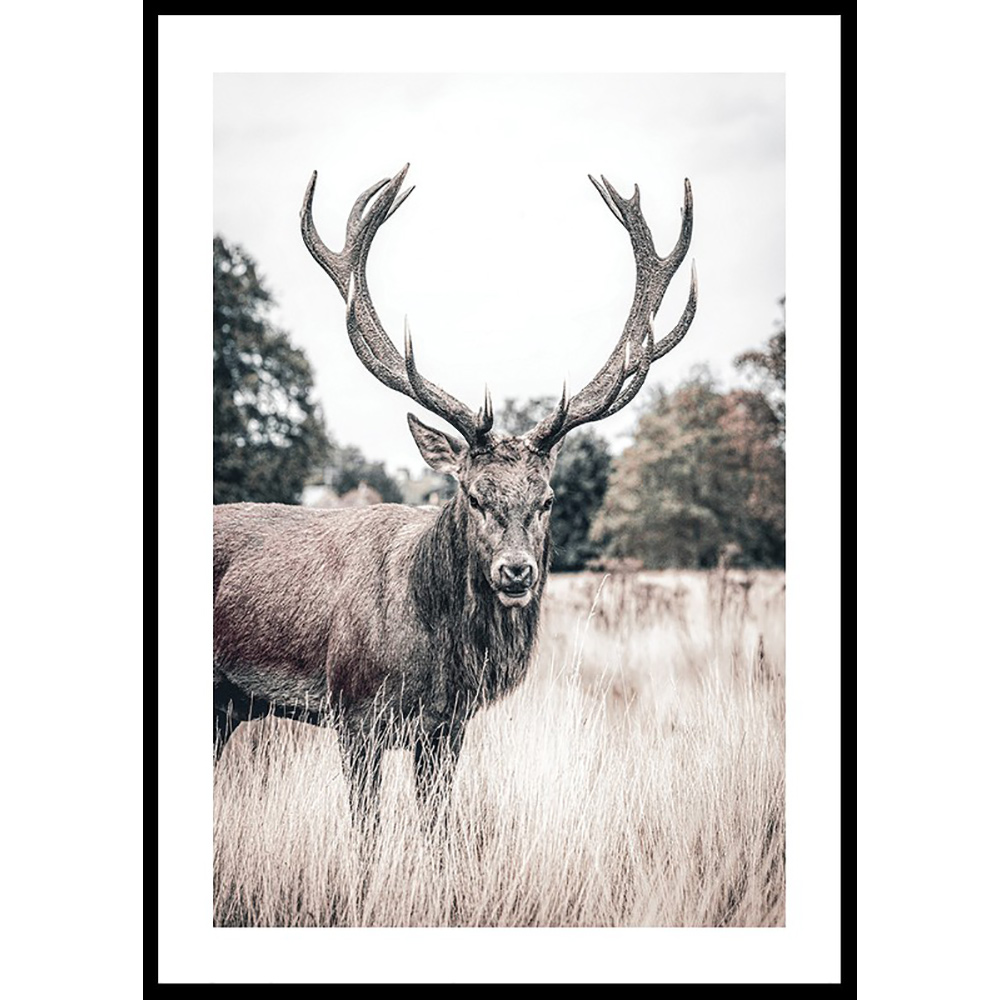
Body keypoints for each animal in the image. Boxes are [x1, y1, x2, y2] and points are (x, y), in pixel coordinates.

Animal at [213, 165, 696, 832]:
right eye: (472, 495)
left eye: (548, 499)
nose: (516, 571)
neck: (438, 660)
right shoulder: (353, 714)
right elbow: (367, 838)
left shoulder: (446, 728)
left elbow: (438, 831)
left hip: (228, 707)